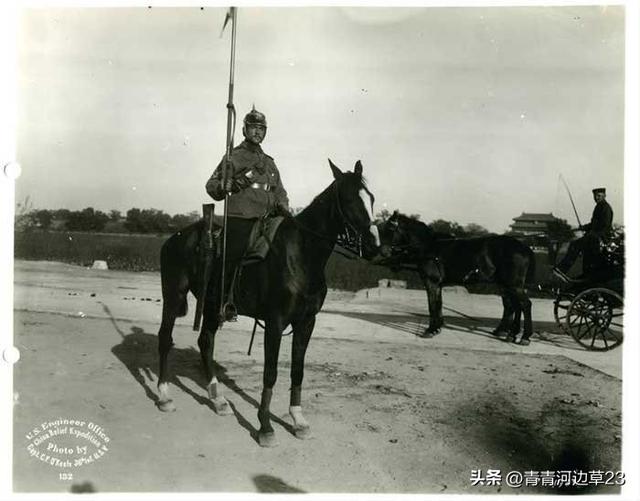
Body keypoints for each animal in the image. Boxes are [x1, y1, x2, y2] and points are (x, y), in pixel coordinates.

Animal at [376, 211, 536, 344]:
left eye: (390, 229)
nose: (383, 252)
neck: (430, 246)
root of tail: (524, 247)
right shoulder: (438, 284)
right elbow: (438, 304)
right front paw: (437, 327)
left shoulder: (431, 282)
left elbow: (432, 305)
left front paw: (430, 330)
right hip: (508, 285)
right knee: (515, 306)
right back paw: (511, 334)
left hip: (513, 285)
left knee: (525, 305)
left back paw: (524, 337)